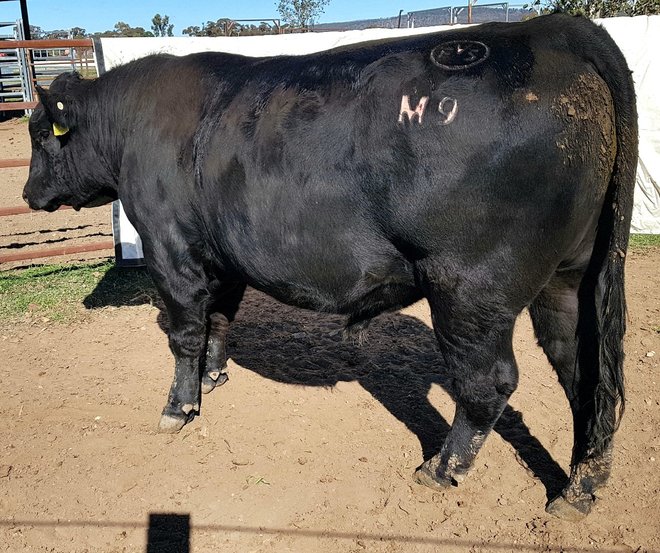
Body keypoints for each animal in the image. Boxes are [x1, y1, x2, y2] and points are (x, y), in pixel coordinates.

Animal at [23, 14, 637, 520]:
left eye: (40, 135)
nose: (28, 194)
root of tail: (553, 28)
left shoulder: (169, 248)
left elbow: (184, 333)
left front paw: (179, 407)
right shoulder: (223, 254)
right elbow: (219, 319)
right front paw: (213, 376)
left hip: (470, 286)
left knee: (490, 382)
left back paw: (442, 470)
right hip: (571, 277)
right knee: (585, 370)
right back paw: (580, 489)